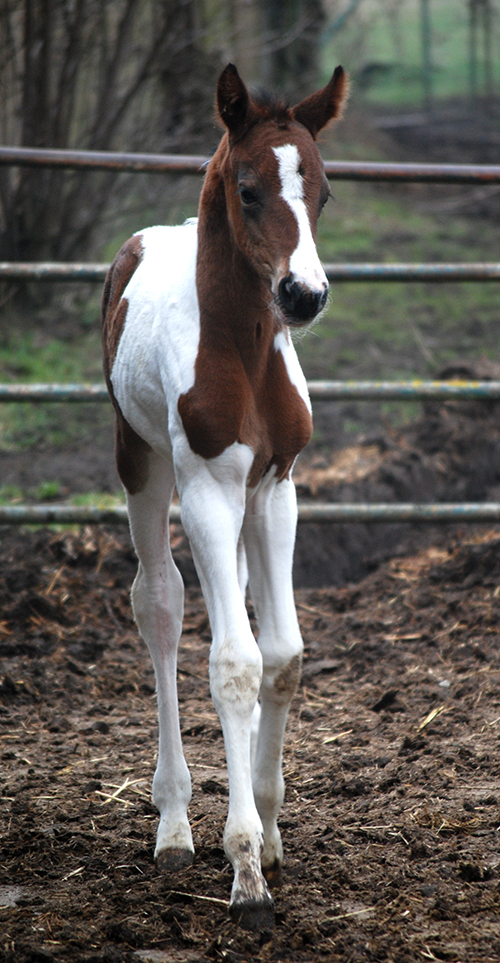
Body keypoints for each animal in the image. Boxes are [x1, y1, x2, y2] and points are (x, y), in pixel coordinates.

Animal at [101, 62, 348, 930]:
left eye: (323, 189)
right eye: (248, 189)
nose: (304, 295)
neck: (245, 348)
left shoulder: (275, 487)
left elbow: (283, 655)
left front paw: (270, 834)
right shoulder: (208, 484)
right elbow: (233, 662)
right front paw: (243, 869)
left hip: (240, 503)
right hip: (142, 462)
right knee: (160, 604)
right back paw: (174, 822)